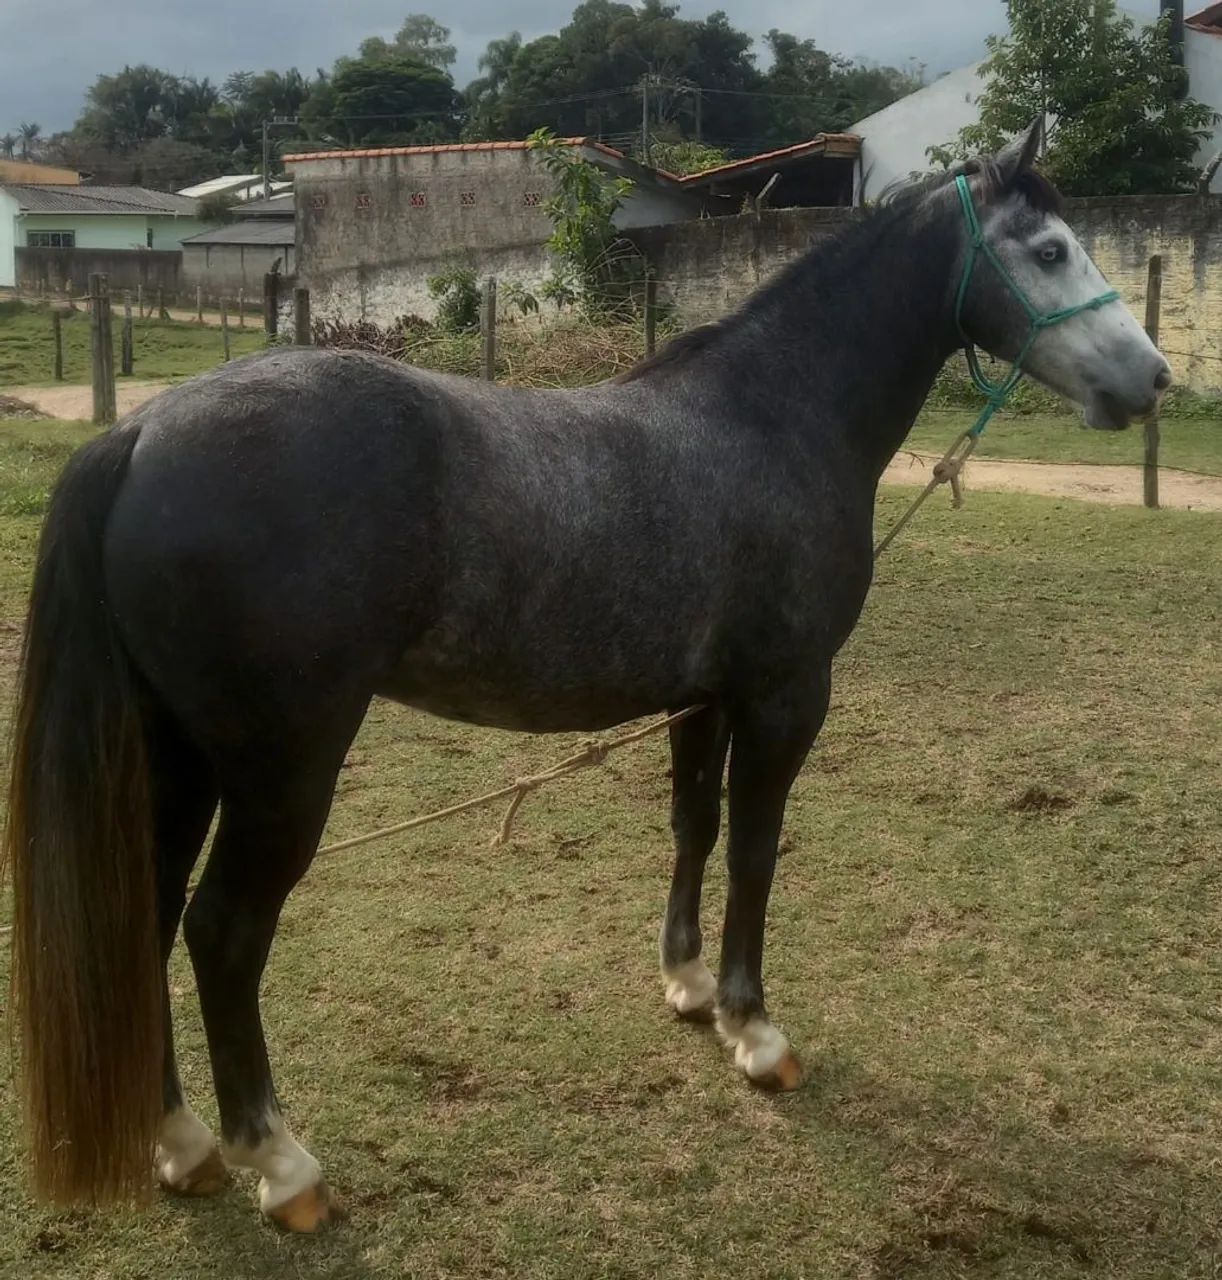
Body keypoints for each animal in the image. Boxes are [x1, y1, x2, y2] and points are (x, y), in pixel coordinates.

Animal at [4, 122, 1170, 1232]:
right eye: (1050, 248)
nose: (1154, 380)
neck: (775, 417)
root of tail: (143, 432)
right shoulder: (786, 693)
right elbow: (755, 849)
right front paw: (756, 1030)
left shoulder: (702, 697)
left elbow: (694, 825)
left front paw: (689, 985)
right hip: (280, 770)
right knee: (222, 933)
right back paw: (279, 1163)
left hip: (173, 753)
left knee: (147, 911)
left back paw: (181, 1142)